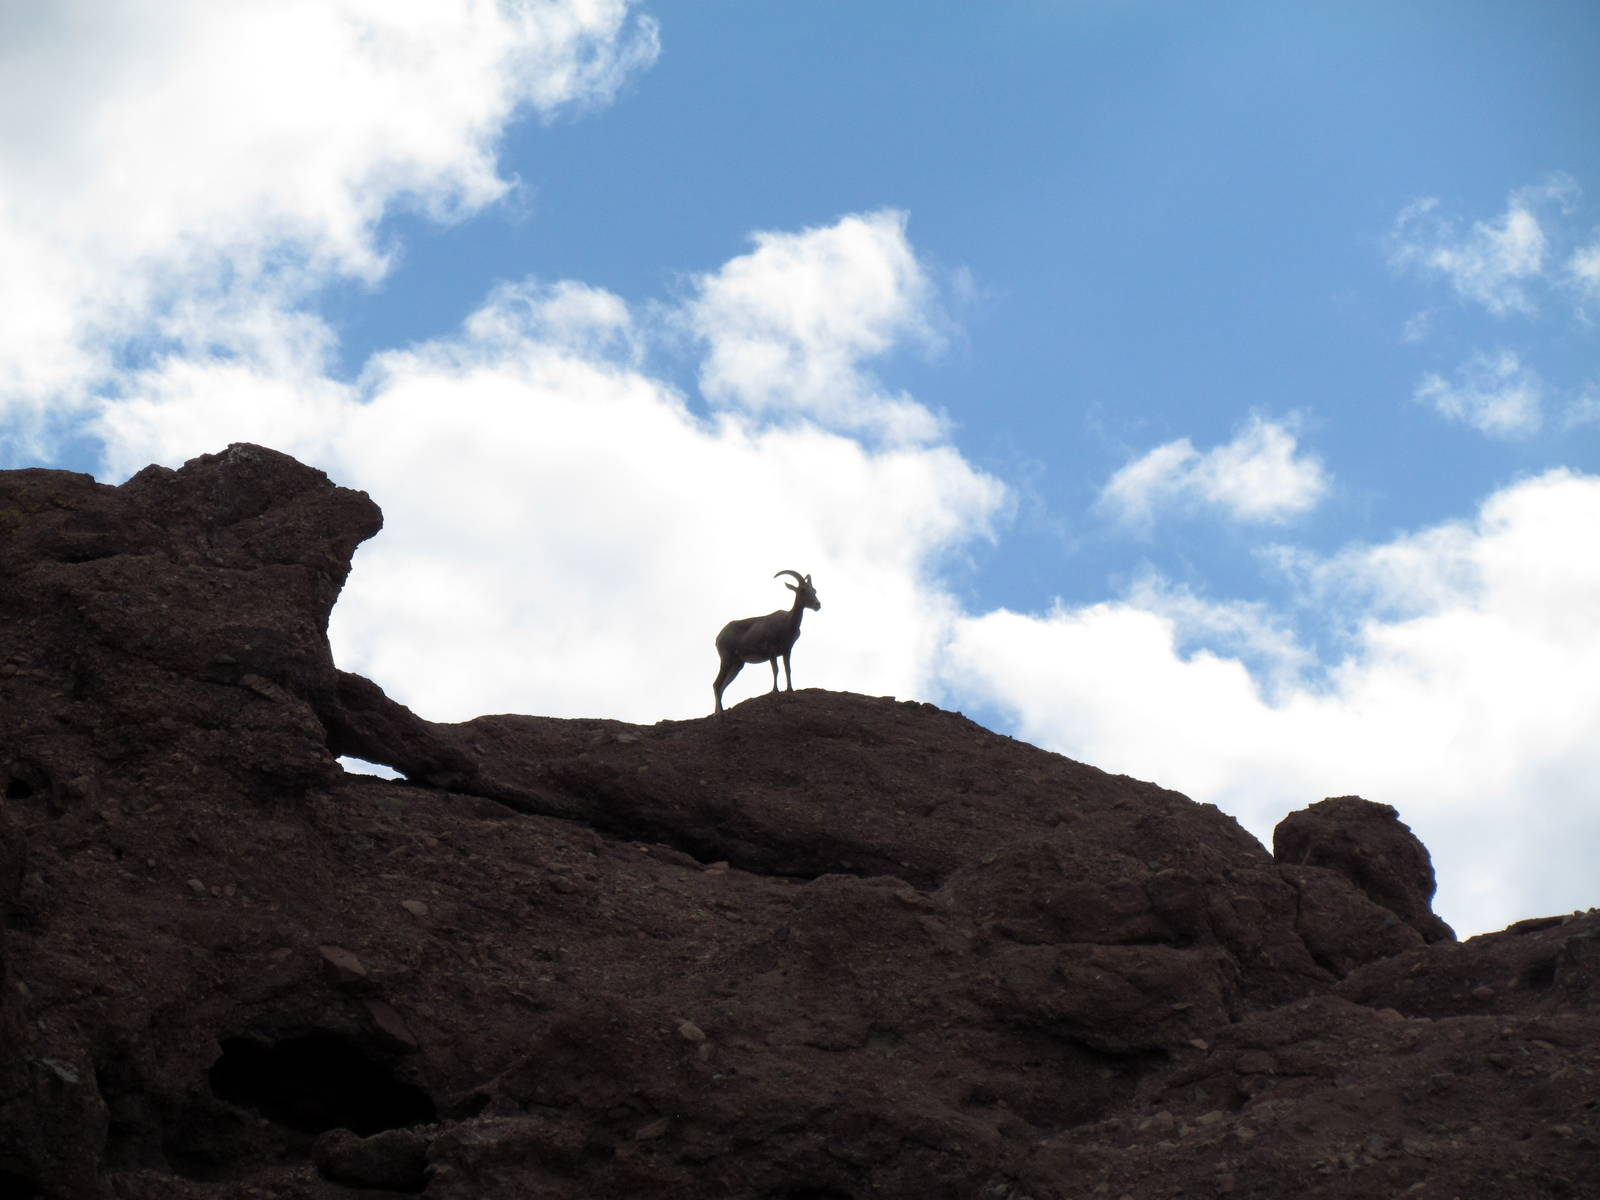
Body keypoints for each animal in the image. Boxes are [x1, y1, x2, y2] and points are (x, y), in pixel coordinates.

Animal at [713, 570, 821, 713]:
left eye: (814, 590)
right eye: (802, 590)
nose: (817, 605)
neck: (787, 623)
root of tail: (718, 638)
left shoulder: (787, 651)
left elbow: (788, 669)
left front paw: (790, 689)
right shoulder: (772, 650)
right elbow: (776, 669)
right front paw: (775, 690)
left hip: (737, 665)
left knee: (722, 687)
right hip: (727, 659)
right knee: (716, 684)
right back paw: (719, 712)